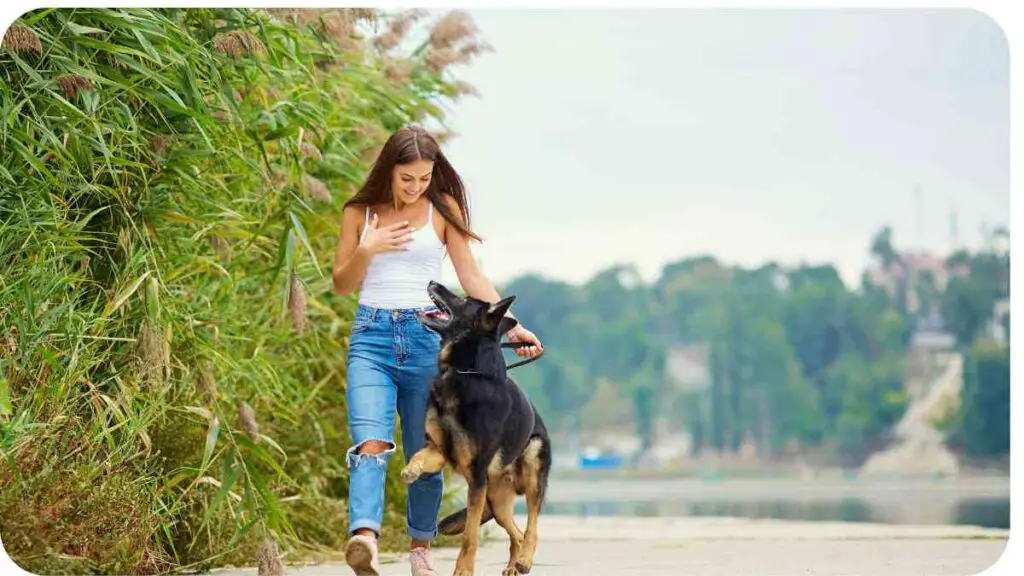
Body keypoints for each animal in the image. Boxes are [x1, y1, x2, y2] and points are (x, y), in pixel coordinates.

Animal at [399, 278, 552, 573]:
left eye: (463, 299)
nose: (432, 281)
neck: (463, 373)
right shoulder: (438, 451)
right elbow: (419, 455)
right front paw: (411, 470)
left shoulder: (477, 478)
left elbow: (470, 535)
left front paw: (463, 570)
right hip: (496, 501)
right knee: (516, 533)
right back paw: (513, 566)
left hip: (531, 473)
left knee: (532, 525)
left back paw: (525, 560)